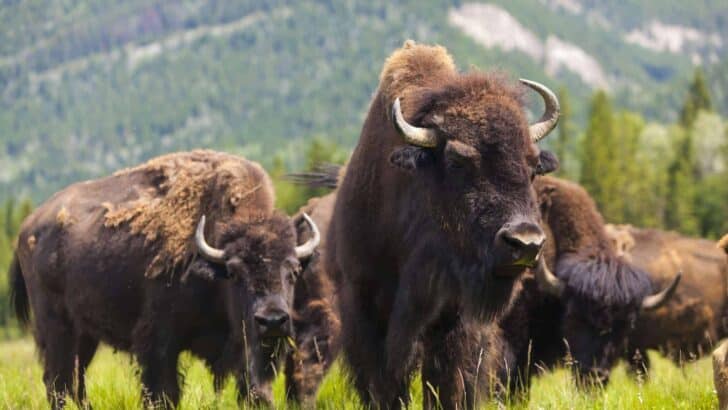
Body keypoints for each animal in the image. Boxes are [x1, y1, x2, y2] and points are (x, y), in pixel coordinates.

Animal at [9, 150, 320, 408]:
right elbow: (164, 392)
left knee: (76, 379)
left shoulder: (244, 349)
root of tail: (27, 227)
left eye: (293, 270)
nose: (272, 320)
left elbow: (254, 388)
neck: (211, 264)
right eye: (234, 273)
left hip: (85, 335)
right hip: (57, 327)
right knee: (58, 382)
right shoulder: (158, 341)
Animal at [325, 41, 561, 408]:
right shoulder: (364, 304)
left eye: (533, 165)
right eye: (457, 160)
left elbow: (447, 379)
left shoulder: (454, 318)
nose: (525, 242)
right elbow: (383, 381)